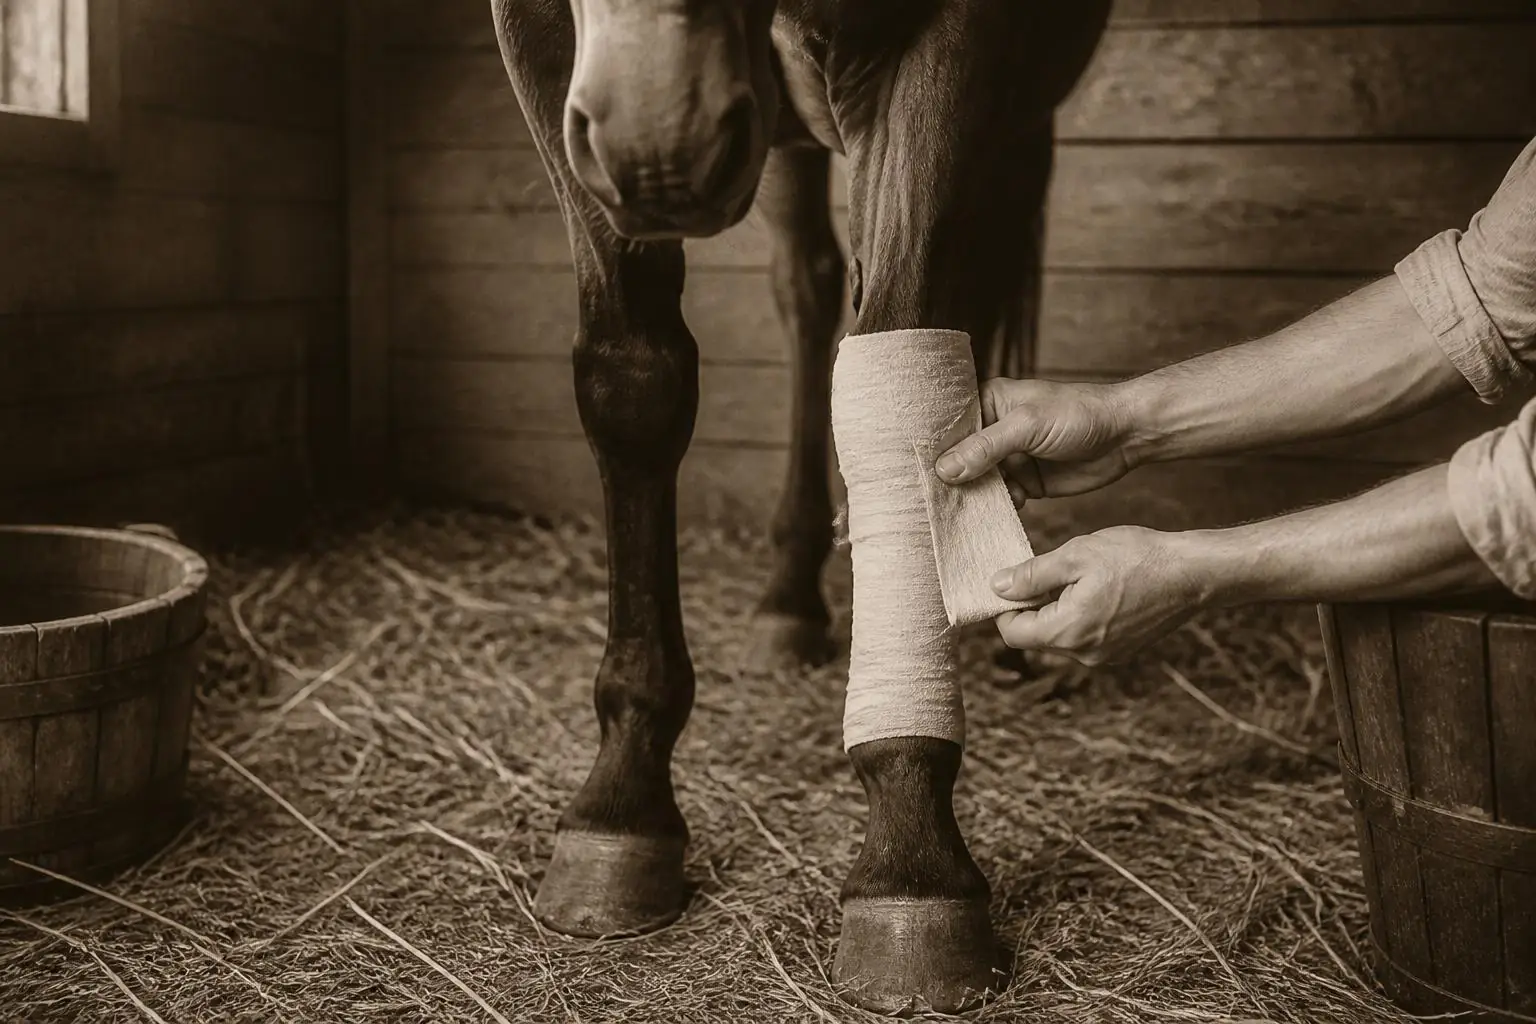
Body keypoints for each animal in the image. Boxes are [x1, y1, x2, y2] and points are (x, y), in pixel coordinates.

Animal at [488, 0, 1112, 1012]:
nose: (659, 146)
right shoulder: (547, 59)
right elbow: (635, 382)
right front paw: (622, 798)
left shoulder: (959, 39)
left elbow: (905, 336)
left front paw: (911, 849)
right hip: (772, 134)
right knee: (808, 286)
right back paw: (790, 599)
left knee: (973, 272)